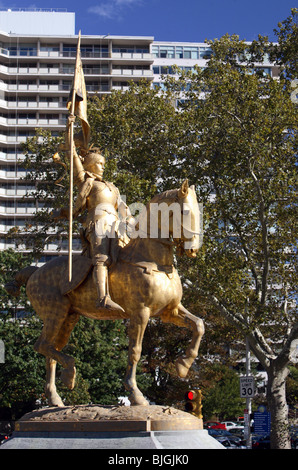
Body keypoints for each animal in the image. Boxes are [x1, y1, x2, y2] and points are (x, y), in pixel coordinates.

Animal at [6, 181, 205, 408]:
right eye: (185, 211)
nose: (193, 249)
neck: (155, 261)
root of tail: (34, 272)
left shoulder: (169, 311)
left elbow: (199, 325)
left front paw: (183, 365)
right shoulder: (141, 313)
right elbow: (135, 351)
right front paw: (135, 394)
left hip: (68, 318)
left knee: (50, 350)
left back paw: (56, 397)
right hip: (54, 314)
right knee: (42, 345)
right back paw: (70, 372)